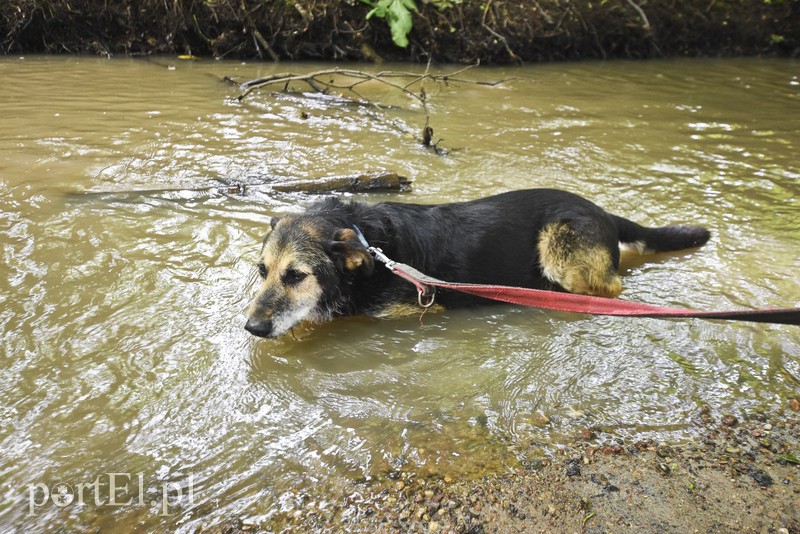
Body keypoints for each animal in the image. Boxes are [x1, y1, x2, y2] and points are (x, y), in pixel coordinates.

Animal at [244, 189, 708, 340]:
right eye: (263, 271)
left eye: (296, 276)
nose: (252, 329)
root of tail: (605, 214)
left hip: (560, 244)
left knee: (611, 289)